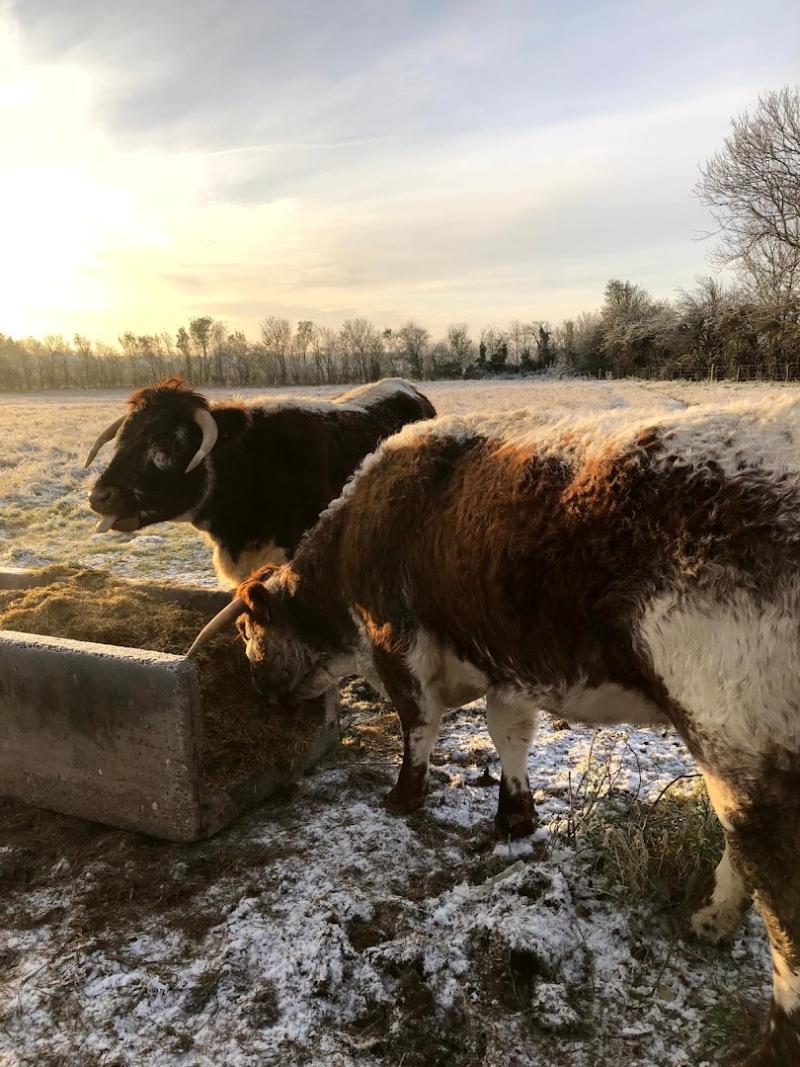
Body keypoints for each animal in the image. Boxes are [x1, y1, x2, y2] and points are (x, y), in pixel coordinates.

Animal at [188, 397, 800, 1065]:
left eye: (247, 631)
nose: (258, 692)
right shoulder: (508, 666)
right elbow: (509, 734)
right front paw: (514, 815)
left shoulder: (399, 644)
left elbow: (418, 728)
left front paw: (403, 798)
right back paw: (710, 919)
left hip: (740, 736)